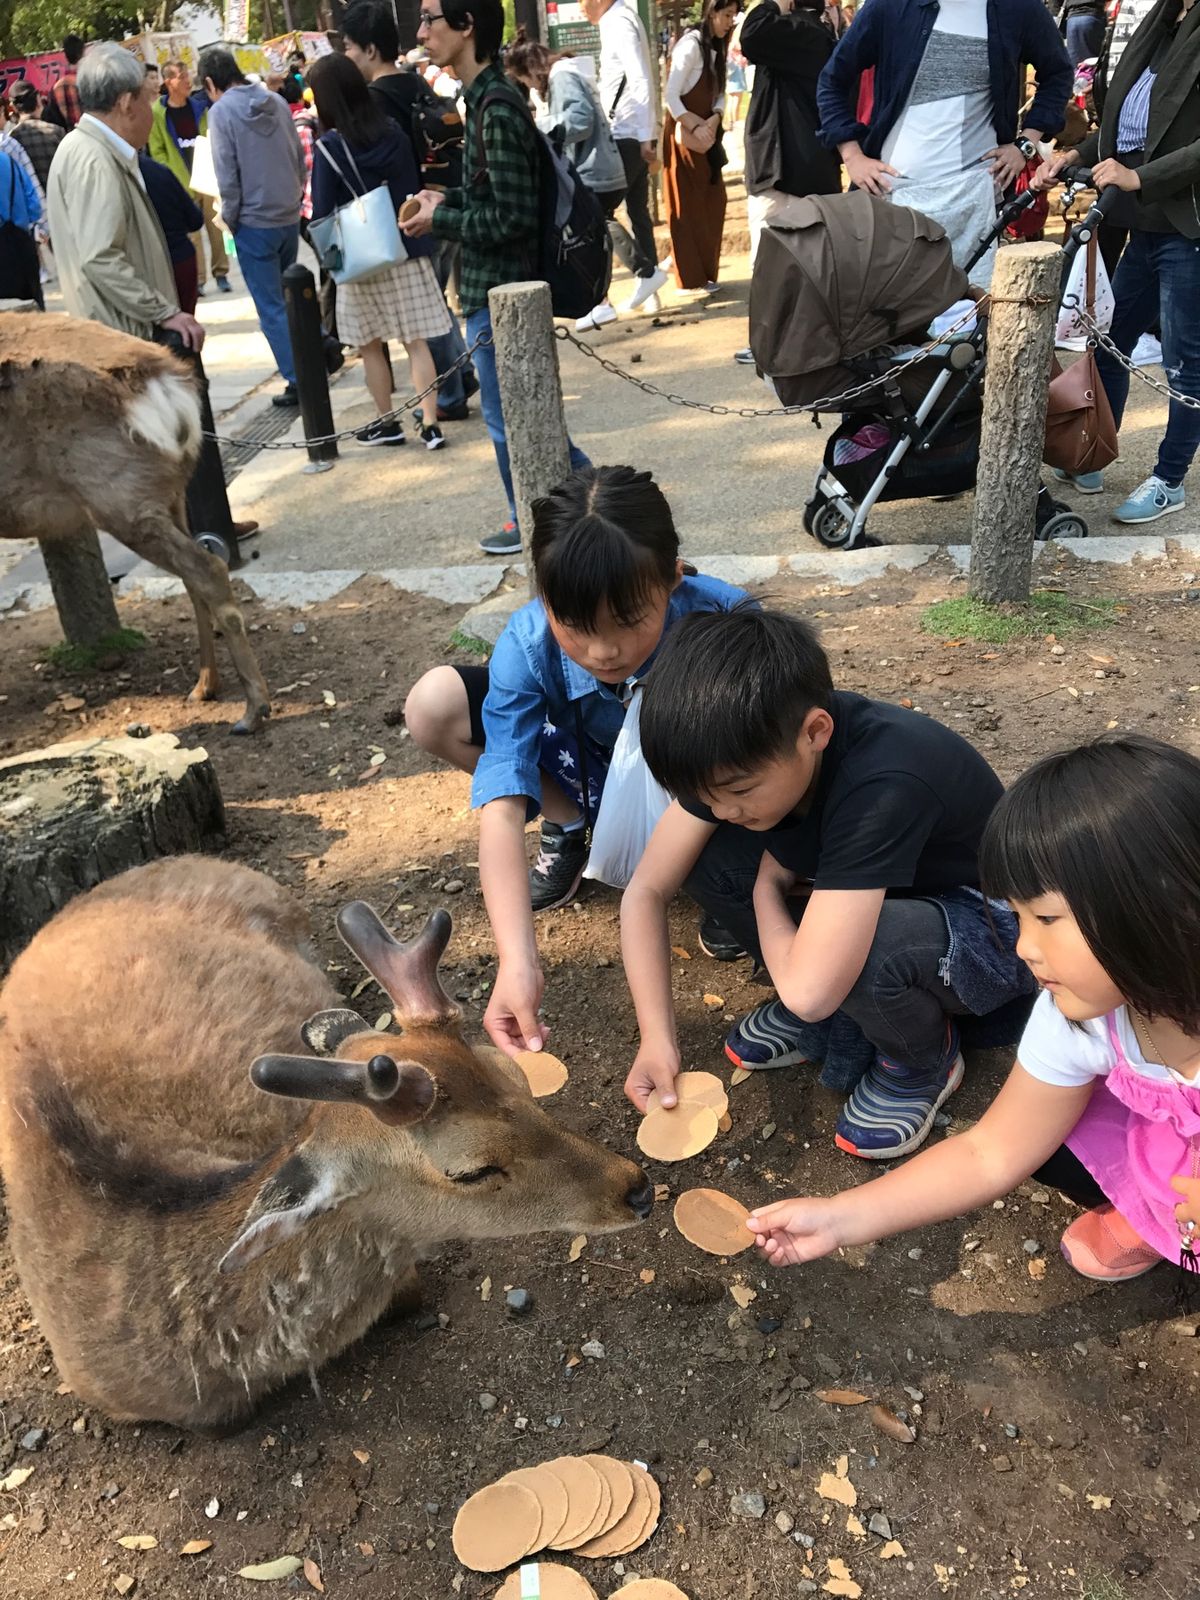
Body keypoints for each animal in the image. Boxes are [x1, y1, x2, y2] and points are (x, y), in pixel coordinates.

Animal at [0, 311, 270, 734]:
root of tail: (170, 385)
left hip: (118, 496)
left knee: (206, 567)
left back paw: (253, 708)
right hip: (169, 494)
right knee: (194, 573)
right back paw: (204, 685)